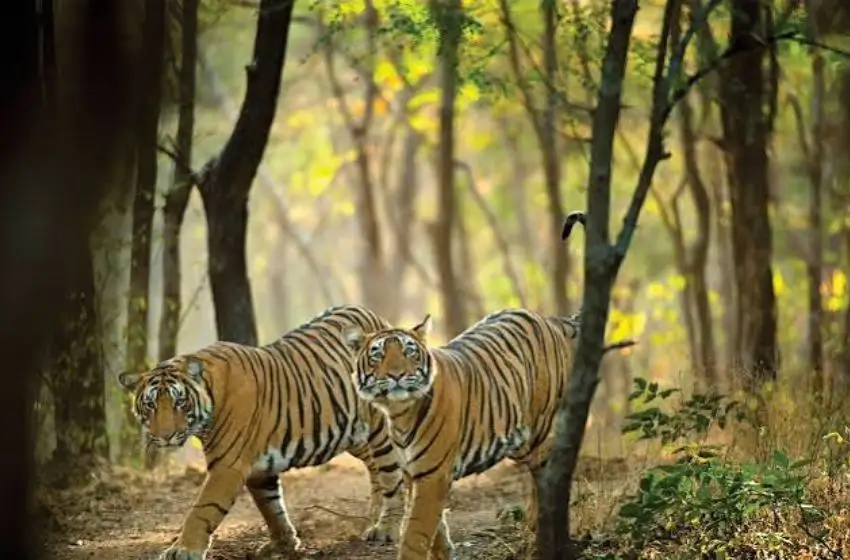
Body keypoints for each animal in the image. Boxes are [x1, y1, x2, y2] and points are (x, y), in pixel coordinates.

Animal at [117, 304, 406, 560]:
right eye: (151, 404)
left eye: (180, 402)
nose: (165, 435)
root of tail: (376, 318)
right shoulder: (259, 468)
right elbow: (271, 507)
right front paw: (284, 544)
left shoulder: (228, 466)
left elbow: (202, 510)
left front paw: (182, 550)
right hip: (354, 435)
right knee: (377, 471)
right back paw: (373, 517)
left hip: (379, 429)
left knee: (393, 476)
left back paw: (386, 529)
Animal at [343, 309, 581, 560]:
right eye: (377, 355)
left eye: (410, 352)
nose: (397, 375)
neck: (399, 412)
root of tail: (549, 319)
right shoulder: (412, 472)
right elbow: (434, 526)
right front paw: (445, 553)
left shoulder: (433, 473)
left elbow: (415, 531)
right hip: (519, 440)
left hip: (541, 432)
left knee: (549, 477)